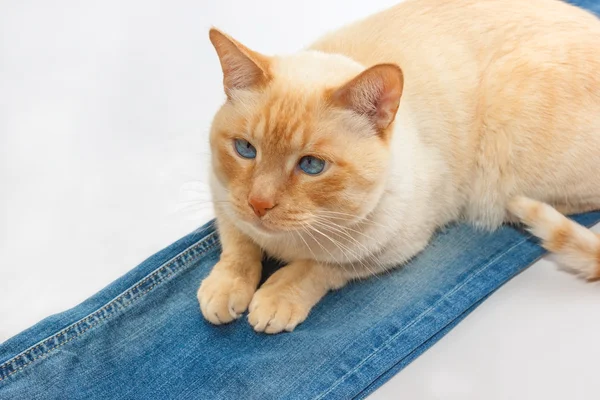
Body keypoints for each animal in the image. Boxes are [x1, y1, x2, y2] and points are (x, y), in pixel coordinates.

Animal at [197, 0, 600, 332]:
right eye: (245, 149)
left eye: (311, 165)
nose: (259, 204)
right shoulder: (223, 198)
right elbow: (238, 245)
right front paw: (224, 289)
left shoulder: (394, 246)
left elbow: (322, 266)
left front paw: (276, 297)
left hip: (507, 165)